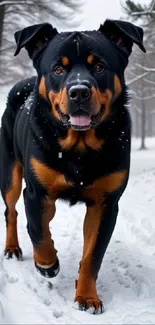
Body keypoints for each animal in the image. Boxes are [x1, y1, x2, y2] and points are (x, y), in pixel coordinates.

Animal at [0, 19, 145, 312]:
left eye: (99, 66)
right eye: (58, 68)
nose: (79, 91)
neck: (79, 149)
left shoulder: (105, 203)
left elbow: (93, 255)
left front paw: (87, 296)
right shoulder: (36, 192)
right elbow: (38, 231)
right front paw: (47, 264)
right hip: (10, 172)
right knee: (12, 211)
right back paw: (13, 248)